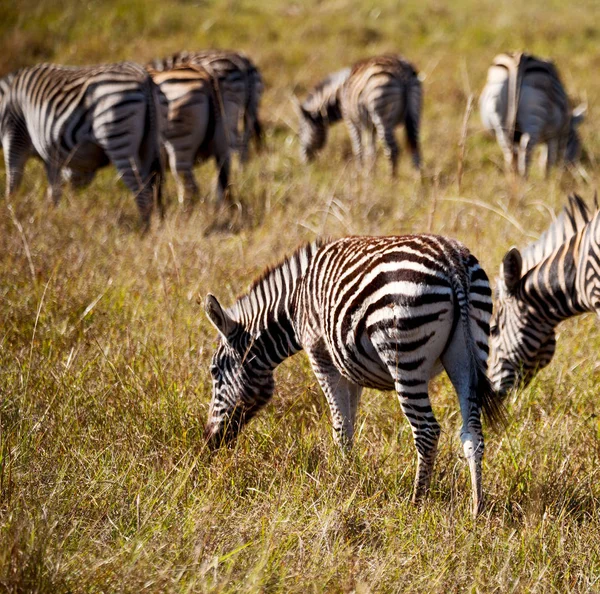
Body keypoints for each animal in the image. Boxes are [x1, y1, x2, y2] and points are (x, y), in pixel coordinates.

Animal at [0, 61, 163, 225]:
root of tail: (143, 76)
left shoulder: (15, 134)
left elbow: (13, 182)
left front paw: (11, 213)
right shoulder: (51, 154)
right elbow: (54, 191)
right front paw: (53, 217)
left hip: (118, 135)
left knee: (141, 191)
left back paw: (142, 229)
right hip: (148, 143)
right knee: (153, 187)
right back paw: (155, 226)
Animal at [204, 234, 504, 516]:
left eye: (214, 371)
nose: (209, 442)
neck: (295, 302)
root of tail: (451, 259)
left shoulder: (320, 354)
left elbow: (339, 426)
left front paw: (339, 482)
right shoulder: (349, 367)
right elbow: (348, 425)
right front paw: (350, 477)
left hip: (405, 356)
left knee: (427, 431)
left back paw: (417, 503)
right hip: (469, 351)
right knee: (472, 432)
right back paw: (476, 508)